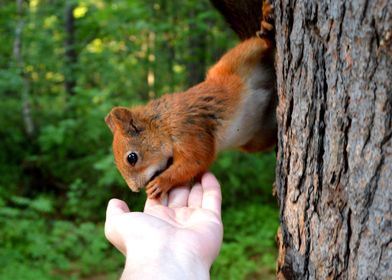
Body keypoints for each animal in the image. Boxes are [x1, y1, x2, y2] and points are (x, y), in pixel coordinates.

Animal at [105, 0, 276, 198]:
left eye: (132, 158)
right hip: (257, 138)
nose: (135, 189)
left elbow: (196, 160)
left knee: (260, 44)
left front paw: (161, 182)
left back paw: (266, 27)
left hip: (238, 58)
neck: (163, 123)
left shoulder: (188, 128)